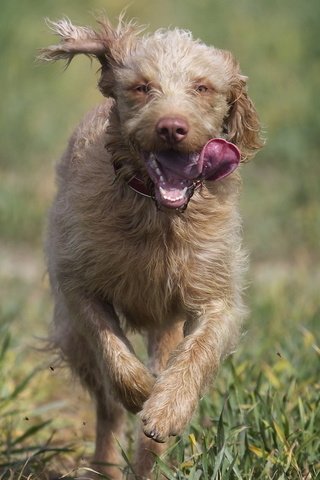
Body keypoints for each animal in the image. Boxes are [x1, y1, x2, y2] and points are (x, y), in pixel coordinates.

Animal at [40, 15, 264, 480]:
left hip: (167, 324)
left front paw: (166, 408)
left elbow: (198, 352)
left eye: (202, 87)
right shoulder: (78, 286)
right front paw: (141, 390)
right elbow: (111, 347)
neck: (158, 216)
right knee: (106, 407)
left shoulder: (216, 297)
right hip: (73, 339)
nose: (171, 128)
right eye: (143, 87)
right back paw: (105, 464)